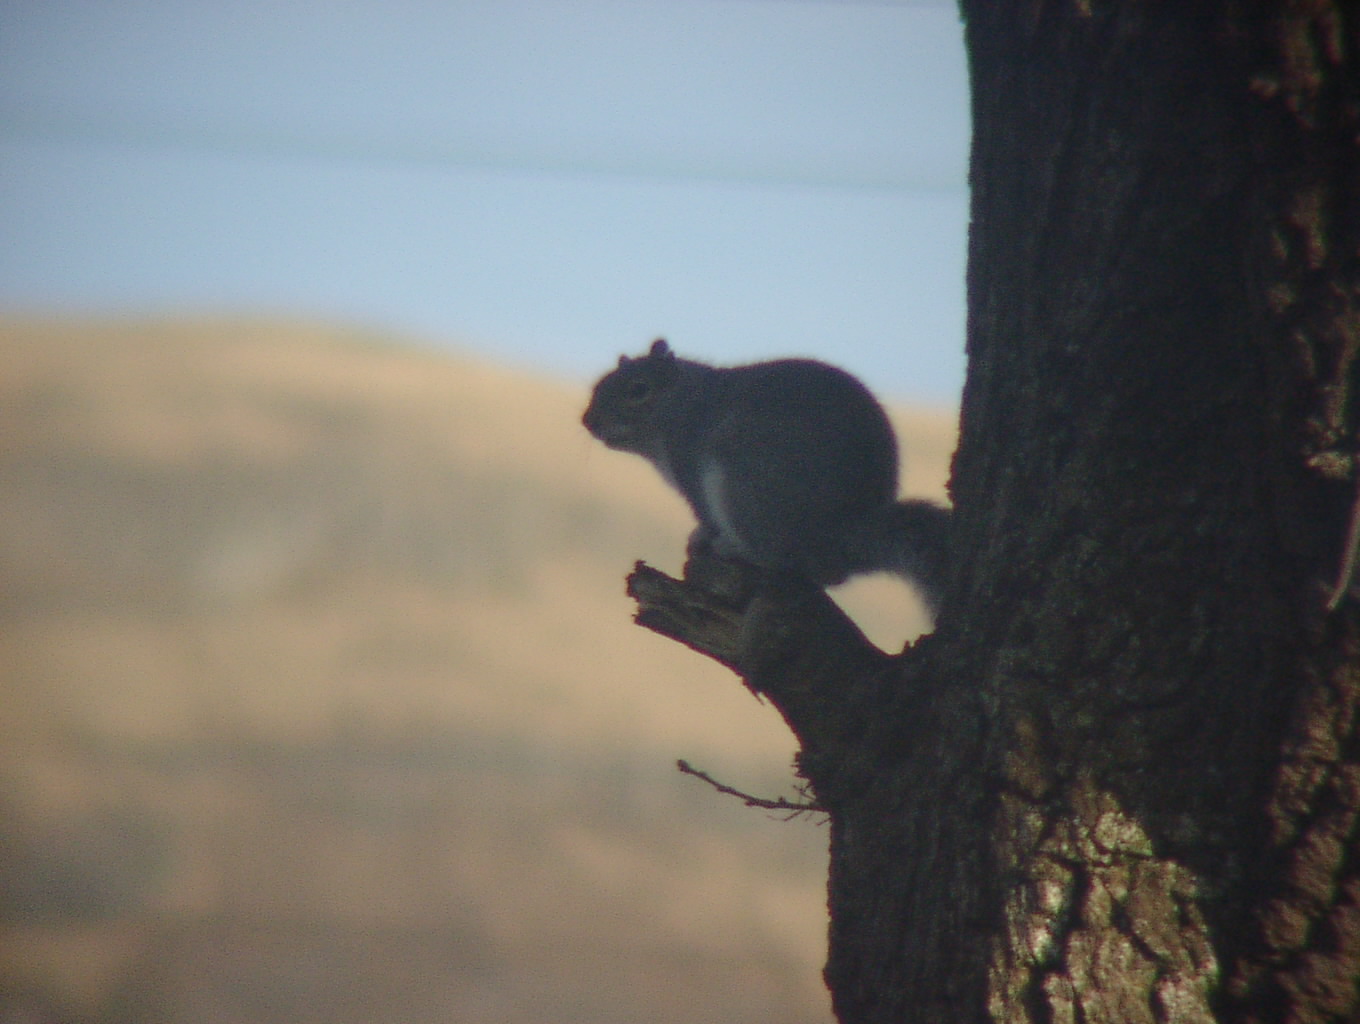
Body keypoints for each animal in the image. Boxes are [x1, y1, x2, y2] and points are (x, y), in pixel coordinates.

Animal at [582, 339, 950, 614]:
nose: (588, 421)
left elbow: (703, 514)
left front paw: (700, 537)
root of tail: (840, 535)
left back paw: (733, 547)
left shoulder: (691, 465)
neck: (682, 401)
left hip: (747, 490)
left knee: (781, 559)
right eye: (600, 383)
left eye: (638, 390)